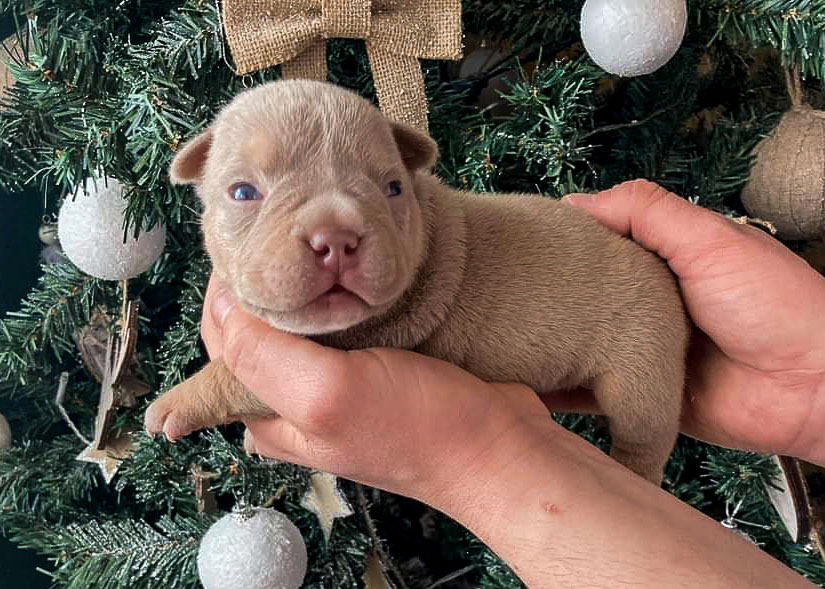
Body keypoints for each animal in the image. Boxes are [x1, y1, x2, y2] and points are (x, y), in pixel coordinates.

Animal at [145, 80, 689, 484]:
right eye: (243, 192)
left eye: (392, 188)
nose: (335, 236)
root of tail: (661, 271)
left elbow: (233, 380)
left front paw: (173, 404)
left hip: (642, 369)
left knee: (645, 435)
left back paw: (633, 476)